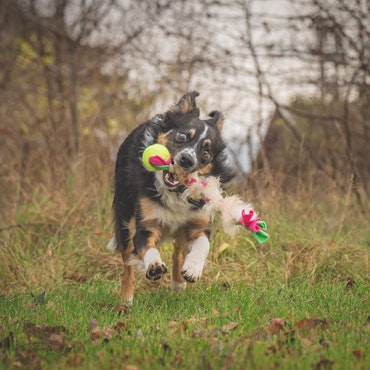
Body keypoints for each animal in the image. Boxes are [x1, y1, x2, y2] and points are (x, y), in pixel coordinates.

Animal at [108, 91, 238, 302]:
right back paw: (126, 299)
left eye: (206, 152)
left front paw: (193, 268)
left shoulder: (198, 222)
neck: (175, 192)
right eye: (182, 135)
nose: (186, 160)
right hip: (125, 216)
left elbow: (203, 244)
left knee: (178, 249)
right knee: (128, 260)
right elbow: (147, 247)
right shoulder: (146, 225)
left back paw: (178, 283)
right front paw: (153, 266)